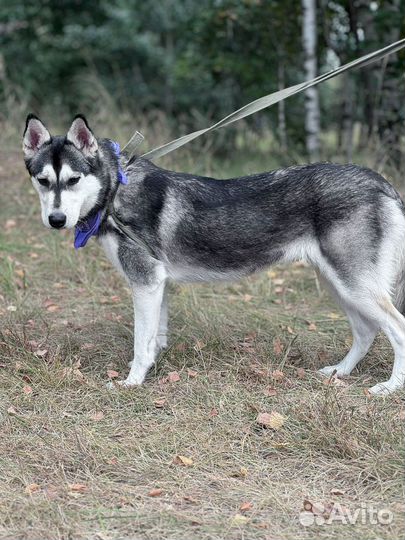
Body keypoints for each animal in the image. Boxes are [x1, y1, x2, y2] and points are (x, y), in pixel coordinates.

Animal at [22, 114, 404, 394]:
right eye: (43, 181)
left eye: (73, 180)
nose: (56, 220)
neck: (115, 191)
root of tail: (381, 182)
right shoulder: (157, 286)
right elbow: (154, 340)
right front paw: (150, 370)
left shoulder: (144, 283)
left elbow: (140, 343)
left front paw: (132, 382)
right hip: (338, 284)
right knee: (366, 331)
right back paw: (340, 371)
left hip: (354, 285)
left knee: (397, 328)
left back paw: (390, 387)